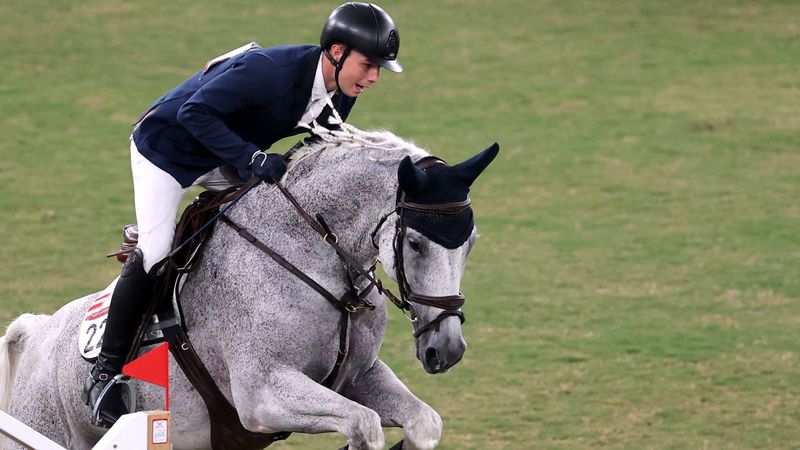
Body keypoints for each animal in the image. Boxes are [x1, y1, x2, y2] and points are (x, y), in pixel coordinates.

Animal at [0, 124, 496, 450]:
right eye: (414, 243)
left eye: (472, 242)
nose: (447, 350)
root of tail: (36, 331)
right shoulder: (263, 396)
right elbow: (365, 425)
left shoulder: (358, 376)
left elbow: (423, 424)